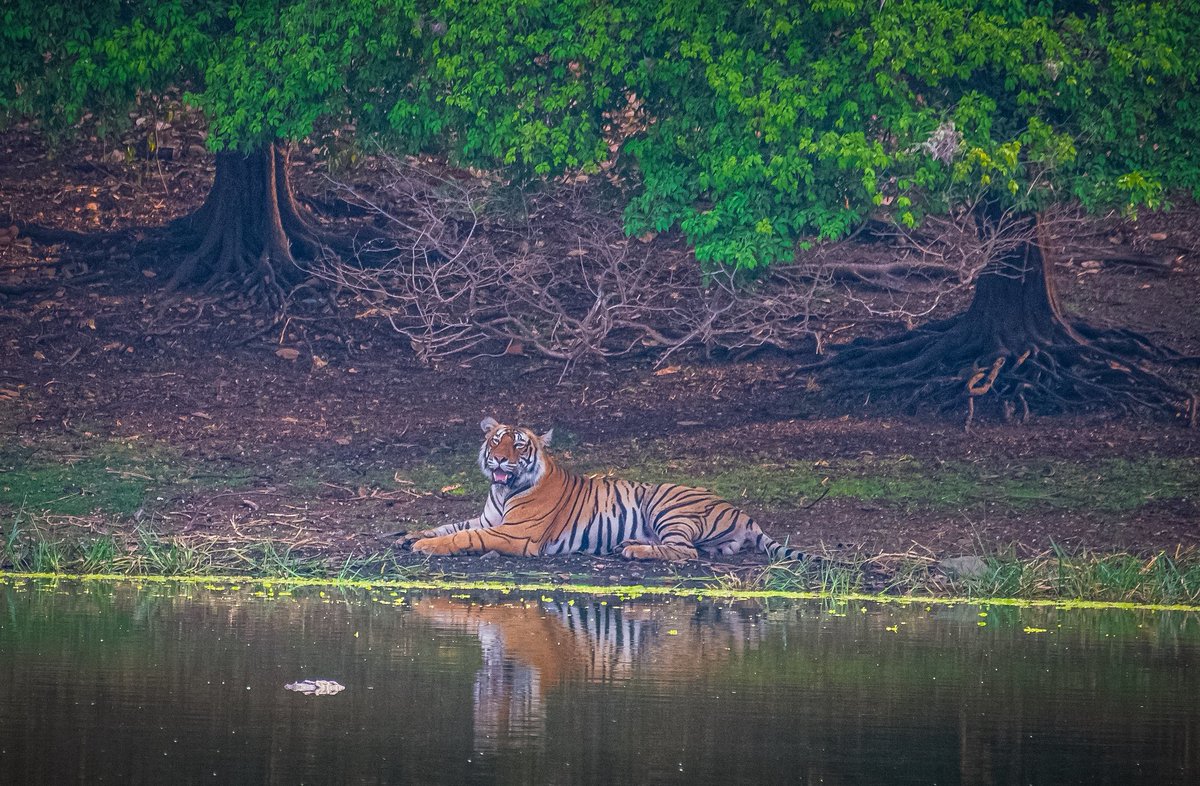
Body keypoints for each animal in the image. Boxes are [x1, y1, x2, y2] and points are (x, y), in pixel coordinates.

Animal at [401, 417, 807, 563]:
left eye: (518, 445)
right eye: (496, 441)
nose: (499, 460)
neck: (503, 491)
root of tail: (741, 511)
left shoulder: (515, 534)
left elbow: (464, 537)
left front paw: (425, 546)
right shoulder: (487, 519)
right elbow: (451, 525)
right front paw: (410, 535)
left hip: (667, 504)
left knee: (685, 551)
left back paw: (632, 551)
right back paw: (627, 544)